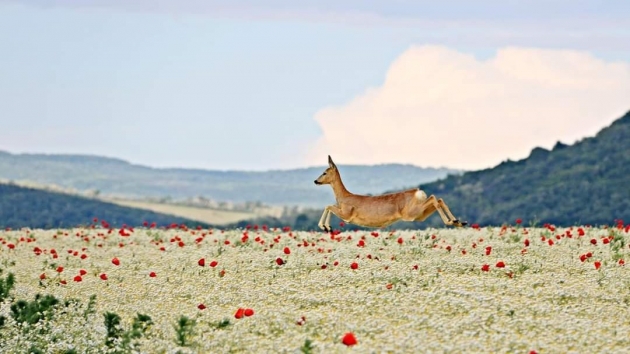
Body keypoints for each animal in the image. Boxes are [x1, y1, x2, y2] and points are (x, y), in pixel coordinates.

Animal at [314, 155, 466, 232]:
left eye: (324, 172)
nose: (315, 181)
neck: (343, 197)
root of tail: (417, 192)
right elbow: (329, 205)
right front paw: (327, 227)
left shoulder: (347, 214)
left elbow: (328, 206)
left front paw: (325, 226)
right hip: (419, 215)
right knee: (438, 199)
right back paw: (458, 221)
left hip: (411, 213)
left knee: (434, 198)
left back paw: (453, 221)